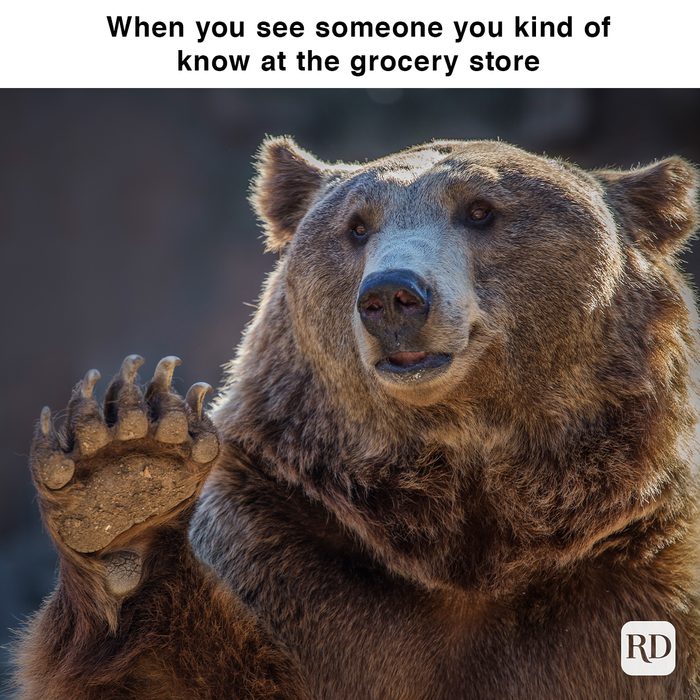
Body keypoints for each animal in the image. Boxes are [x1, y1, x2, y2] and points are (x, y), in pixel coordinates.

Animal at [13, 137, 700, 699]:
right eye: (357, 225)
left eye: (481, 210)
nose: (392, 295)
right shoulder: (287, 550)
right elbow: (168, 675)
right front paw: (124, 481)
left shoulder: (634, 580)